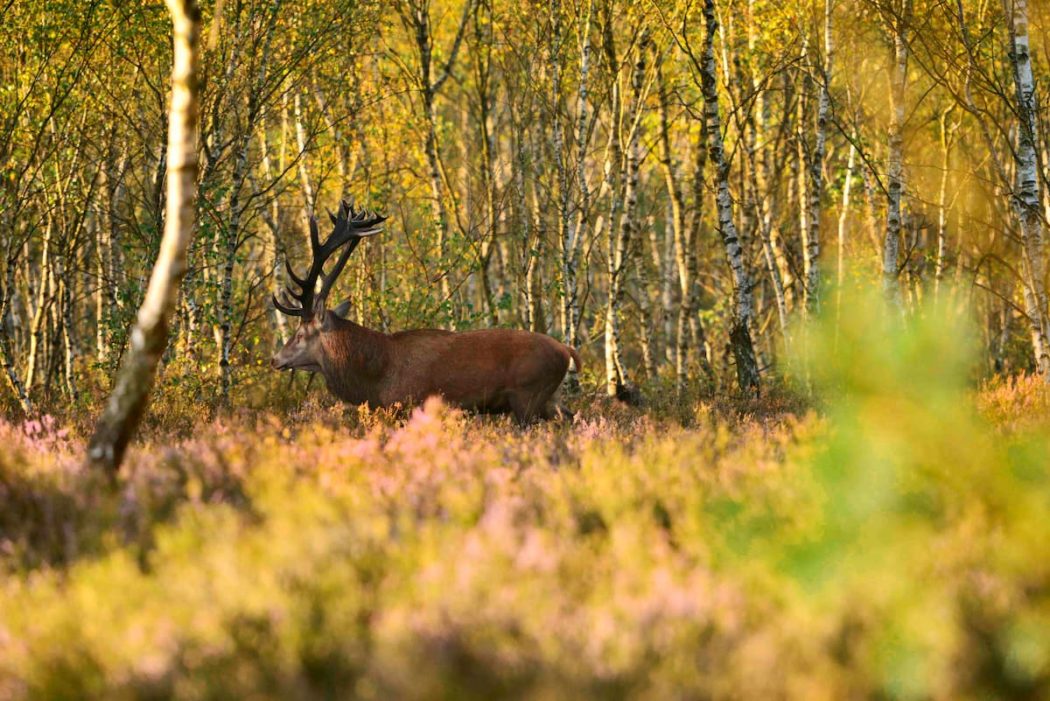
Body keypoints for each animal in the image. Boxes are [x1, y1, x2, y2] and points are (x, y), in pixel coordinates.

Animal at [271, 201, 581, 424]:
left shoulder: (409, 405)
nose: (275, 359)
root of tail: (567, 350)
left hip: (527, 396)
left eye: (300, 333)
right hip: (550, 399)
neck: (376, 379)